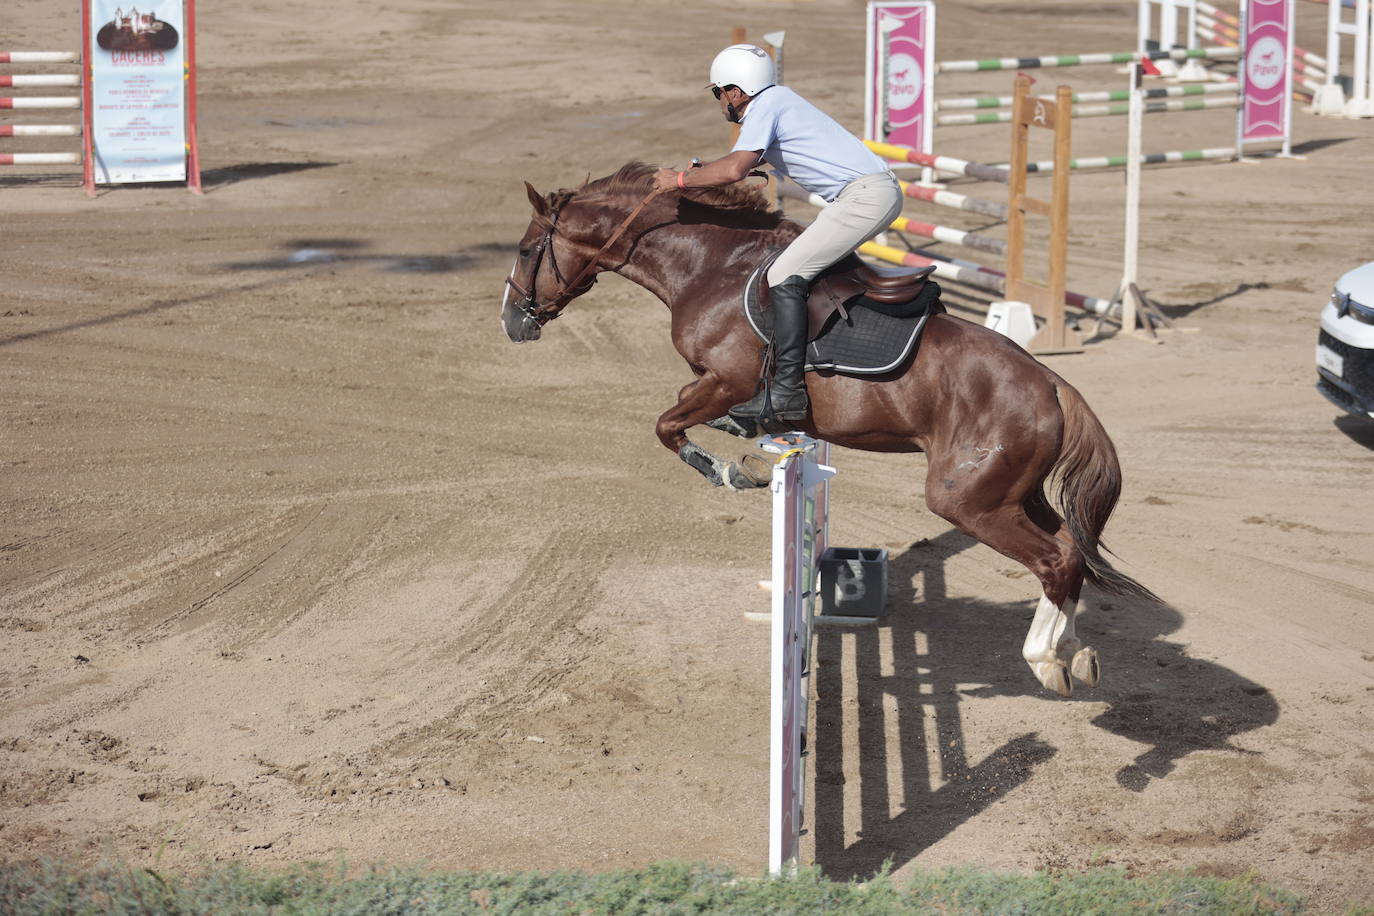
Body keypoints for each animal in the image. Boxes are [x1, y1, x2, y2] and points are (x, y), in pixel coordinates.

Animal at [500, 162, 1154, 694]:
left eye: (528, 250)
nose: (512, 322)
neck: (710, 266)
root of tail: (1053, 384)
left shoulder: (725, 380)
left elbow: (668, 425)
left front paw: (732, 472)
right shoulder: (714, 386)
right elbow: (689, 417)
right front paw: (742, 446)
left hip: (968, 500)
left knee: (1055, 560)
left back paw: (1047, 659)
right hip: (1015, 492)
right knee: (1070, 550)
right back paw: (1075, 652)